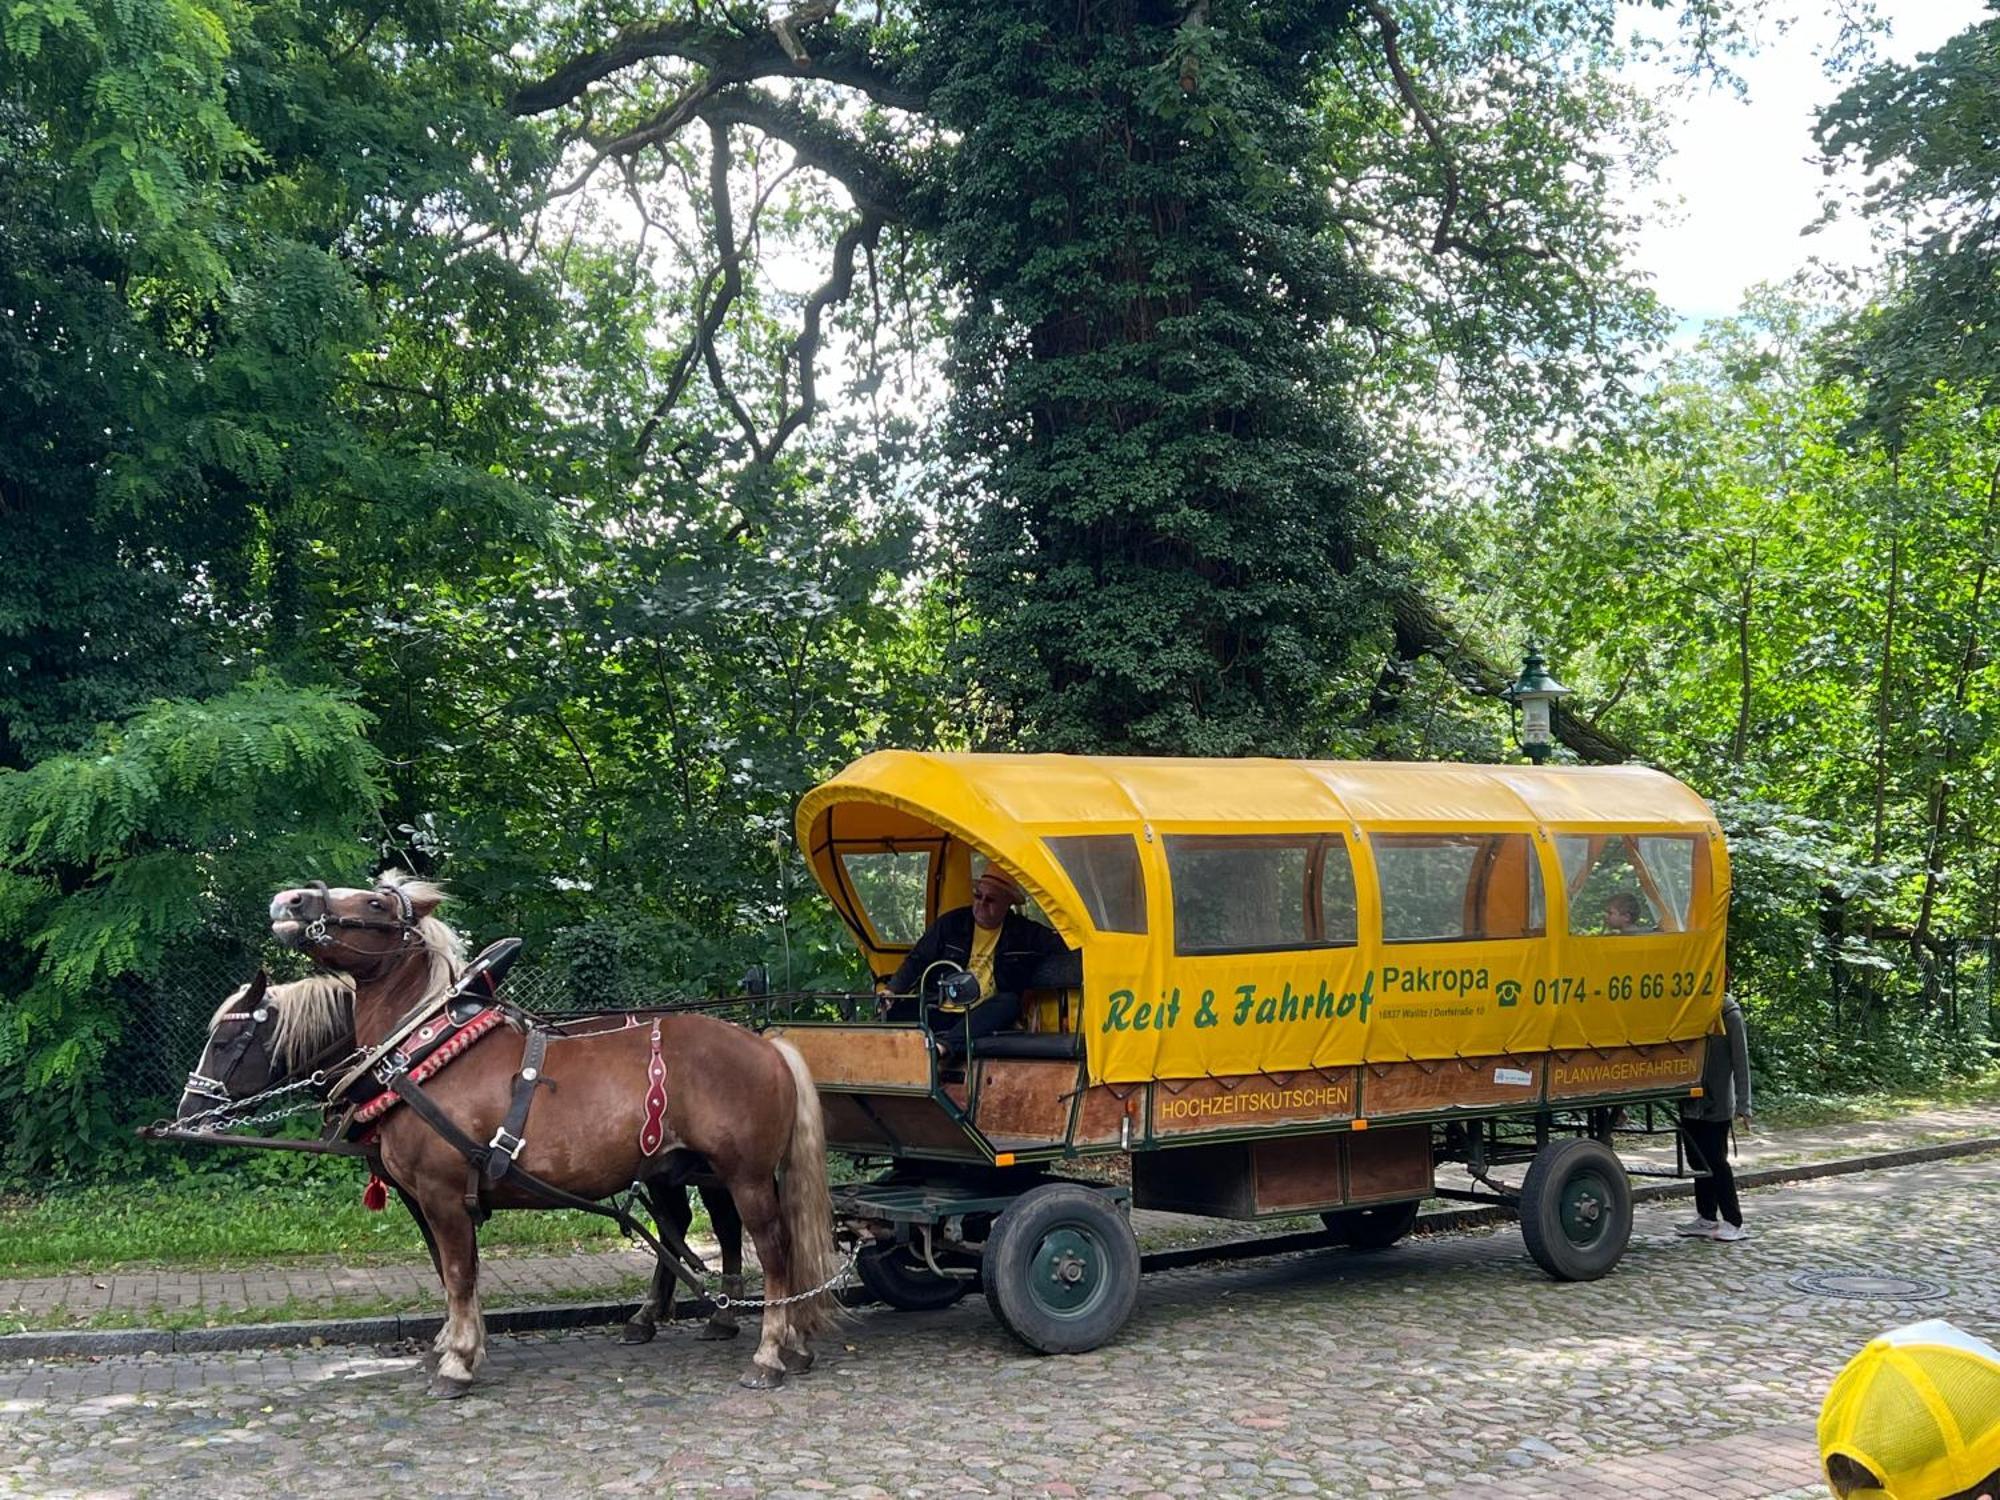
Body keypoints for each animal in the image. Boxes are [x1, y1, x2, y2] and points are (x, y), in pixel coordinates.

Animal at [262, 868, 832, 1400]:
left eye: (375, 903)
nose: (290, 900)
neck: (430, 1053)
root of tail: (767, 1044)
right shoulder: (433, 1199)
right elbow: (458, 1275)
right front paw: (457, 1347)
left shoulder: (441, 1194)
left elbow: (458, 1274)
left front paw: (457, 1360)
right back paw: (786, 1342)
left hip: (746, 1177)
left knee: (775, 1251)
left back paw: (769, 1353)